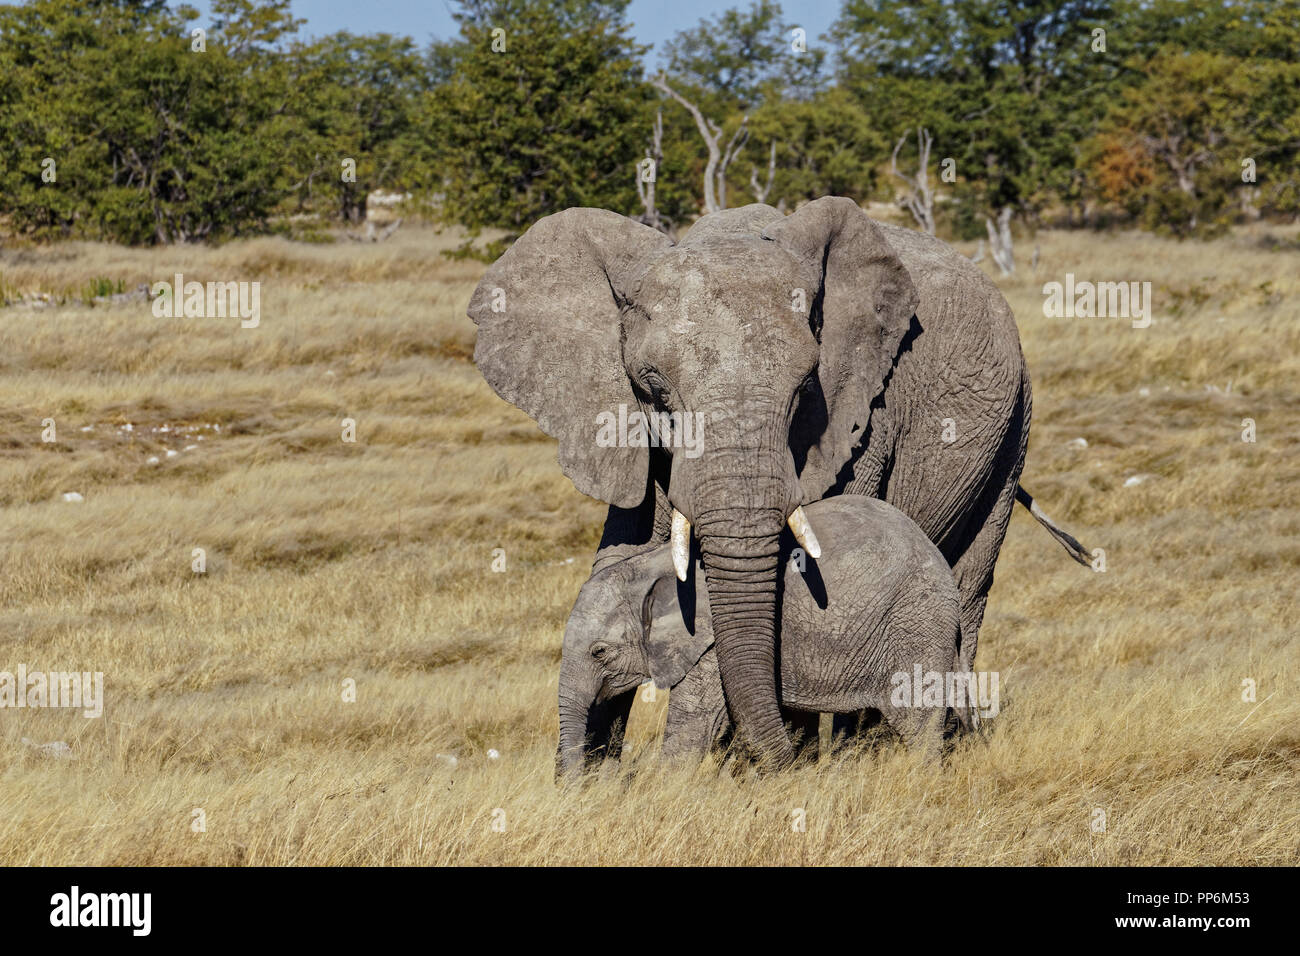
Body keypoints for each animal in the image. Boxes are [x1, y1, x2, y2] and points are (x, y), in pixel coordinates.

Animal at [556, 494, 967, 780]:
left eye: (599, 652)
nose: (588, 782)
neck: (645, 568)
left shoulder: (709, 645)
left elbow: (695, 724)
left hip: (917, 621)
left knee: (917, 721)